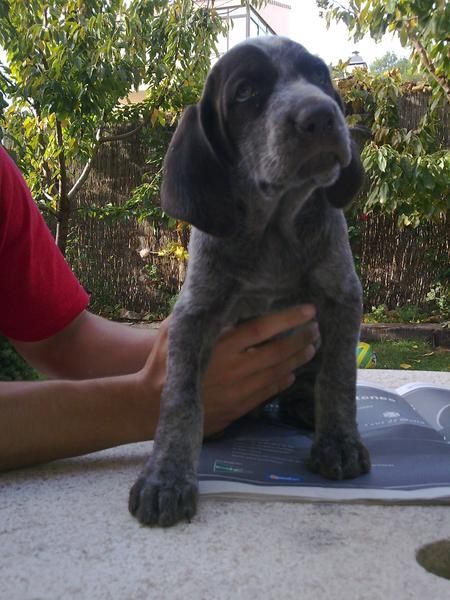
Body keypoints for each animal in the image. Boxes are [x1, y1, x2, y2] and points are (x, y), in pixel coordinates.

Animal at [128, 36, 370, 524]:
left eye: (319, 77)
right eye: (245, 92)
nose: (321, 116)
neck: (274, 225)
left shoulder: (341, 296)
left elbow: (338, 376)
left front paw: (339, 441)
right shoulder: (194, 314)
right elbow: (180, 398)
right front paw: (166, 476)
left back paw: (303, 407)